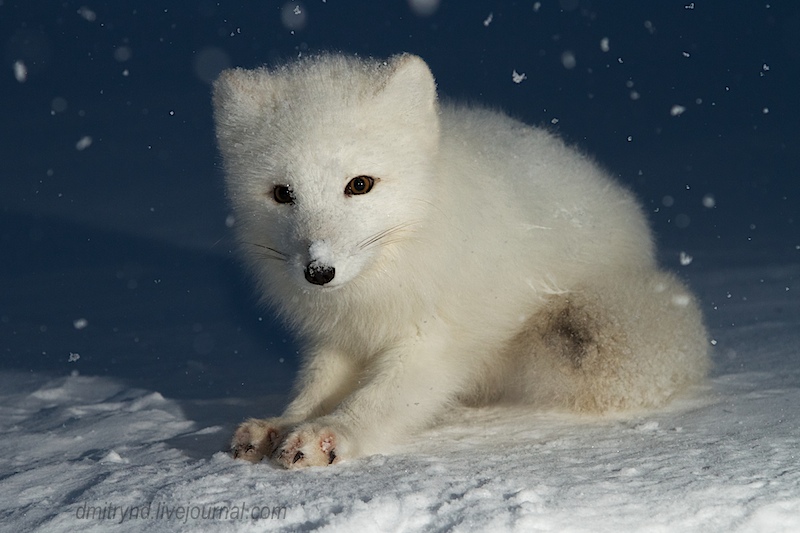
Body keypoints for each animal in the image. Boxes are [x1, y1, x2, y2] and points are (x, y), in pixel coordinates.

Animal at [211, 54, 708, 468]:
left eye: (359, 184)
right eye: (282, 193)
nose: (318, 271)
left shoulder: (434, 342)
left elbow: (378, 401)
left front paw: (330, 433)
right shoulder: (338, 339)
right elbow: (314, 389)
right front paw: (280, 423)